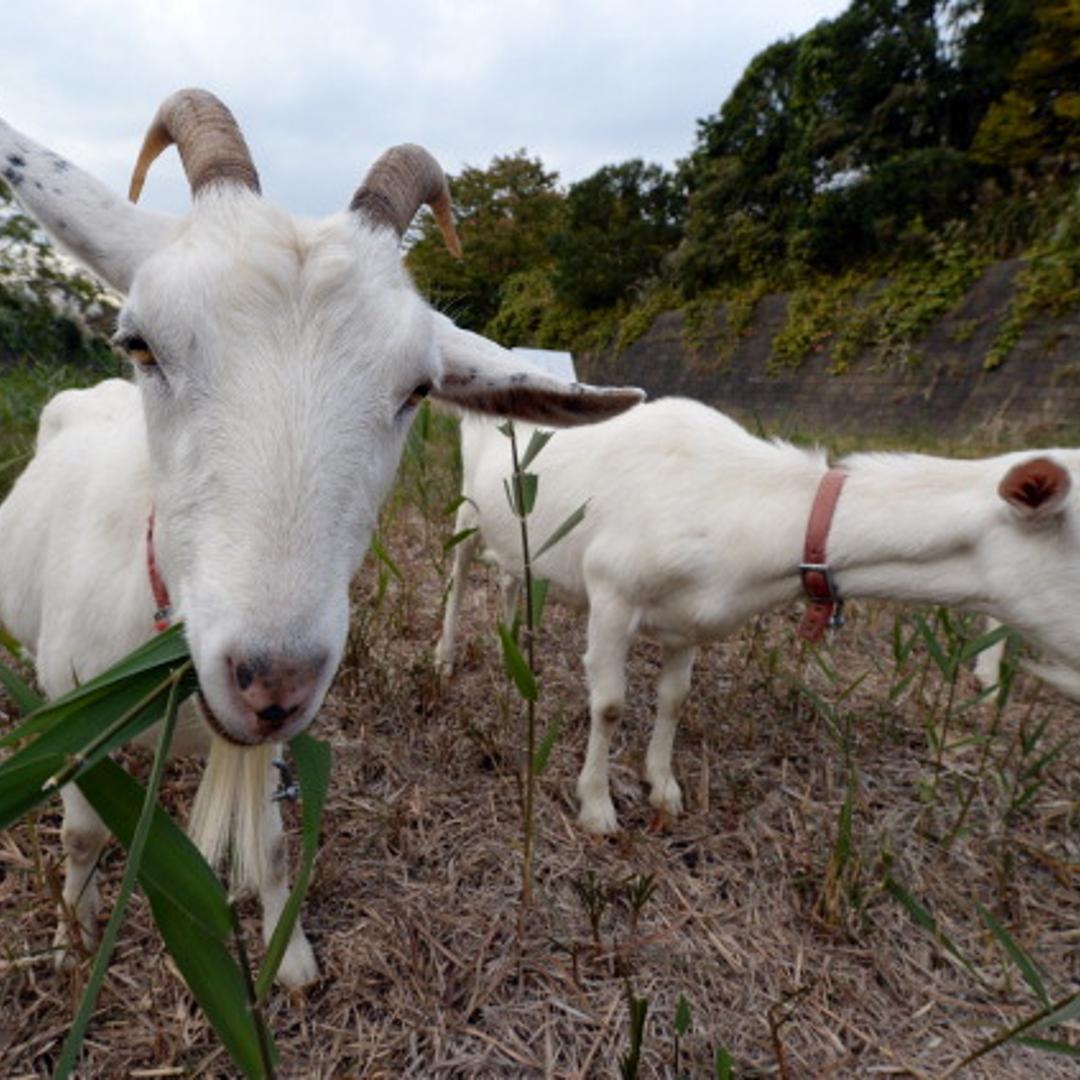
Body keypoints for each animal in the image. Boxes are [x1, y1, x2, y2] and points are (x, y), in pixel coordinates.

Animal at [0, 89, 642, 987]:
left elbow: (274, 848)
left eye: (418, 389)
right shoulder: (70, 703)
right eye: (141, 343)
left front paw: (291, 958)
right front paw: (72, 942)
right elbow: (84, 832)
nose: (272, 680)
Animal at [436, 396, 1080, 834]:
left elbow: (674, 698)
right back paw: (444, 659)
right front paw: (597, 809)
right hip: (466, 505)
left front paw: (663, 789)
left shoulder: (686, 620)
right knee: (460, 568)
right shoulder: (613, 590)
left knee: (508, 575)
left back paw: (510, 645)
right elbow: (611, 704)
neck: (742, 504)